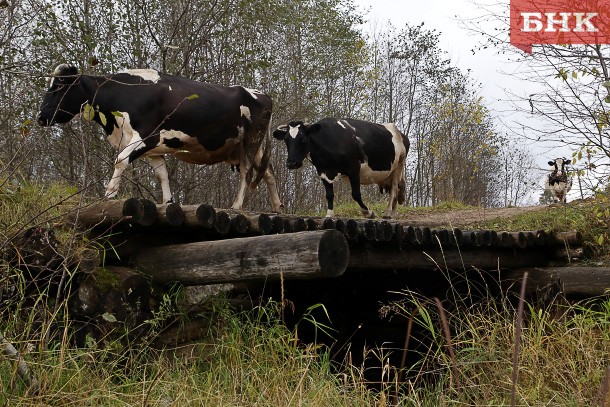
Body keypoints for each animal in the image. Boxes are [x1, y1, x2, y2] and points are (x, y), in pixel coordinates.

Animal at [37, 63, 282, 214]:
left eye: (59, 87)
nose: (41, 117)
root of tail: (263, 95)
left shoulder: (147, 137)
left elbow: (121, 160)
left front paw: (109, 195)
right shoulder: (153, 148)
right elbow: (162, 175)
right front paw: (167, 202)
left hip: (251, 141)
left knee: (247, 173)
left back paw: (237, 205)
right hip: (250, 146)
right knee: (268, 172)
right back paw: (277, 207)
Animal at [272, 118, 408, 220]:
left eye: (303, 139)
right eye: (286, 140)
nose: (291, 163)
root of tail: (400, 133)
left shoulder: (354, 168)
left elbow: (356, 194)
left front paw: (368, 212)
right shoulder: (322, 172)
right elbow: (329, 195)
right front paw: (329, 214)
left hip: (399, 164)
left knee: (394, 188)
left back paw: (388, 212)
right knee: (395, 189)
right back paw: (392, 212)